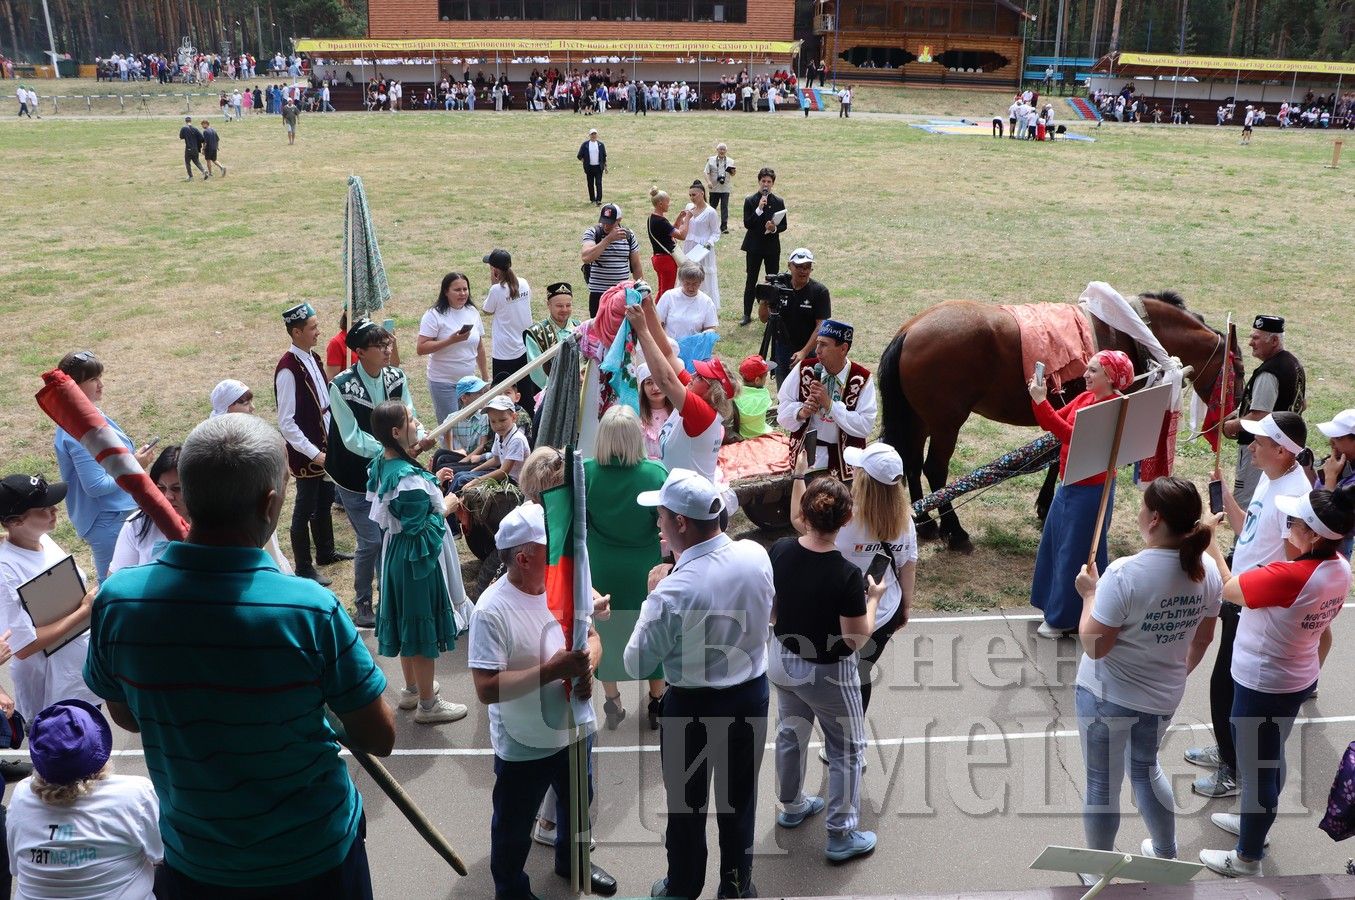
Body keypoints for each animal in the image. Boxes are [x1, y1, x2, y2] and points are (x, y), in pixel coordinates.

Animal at [872, 291, 1241, 553]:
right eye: (1237, 372)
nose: (1233, 420)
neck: (1130, 333)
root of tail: (910, 329)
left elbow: (1058, 454)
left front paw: (1045, 504)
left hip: (921, 418)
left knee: (910, 461)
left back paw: (924, 523)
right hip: (947, 422)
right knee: (935, 469)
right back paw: (955, 531)